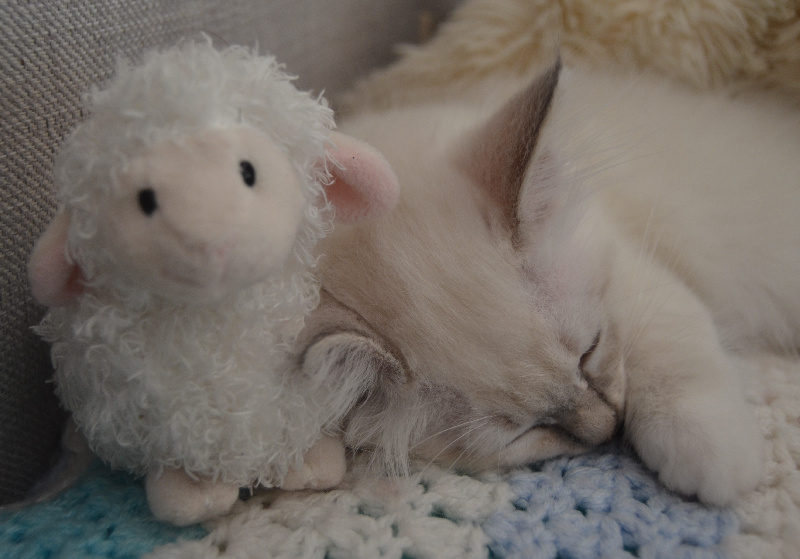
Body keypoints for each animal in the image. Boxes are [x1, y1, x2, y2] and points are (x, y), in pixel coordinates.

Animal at [298, 62, 800, 508]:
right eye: (529, 432)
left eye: (590, 352)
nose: (609, 428)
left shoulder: (630, 260)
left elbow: (670, 347)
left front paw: (717, 459)